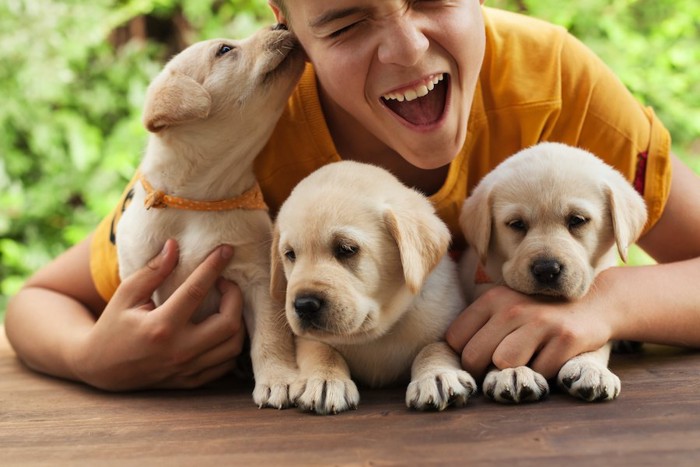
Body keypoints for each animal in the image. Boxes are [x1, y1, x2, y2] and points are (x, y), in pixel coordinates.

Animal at [116, 25, 304, 410]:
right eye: (225, 50)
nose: (280, 26)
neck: (197, 200)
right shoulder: (137, 270)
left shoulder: (258, 276)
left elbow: (270, 336)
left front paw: (278, 379)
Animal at [270, 162, 478, 416]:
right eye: (290, 254)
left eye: (346, 249)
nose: (304, 305)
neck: (374, 334)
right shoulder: (307, 338)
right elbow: (321, 349)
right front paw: (324, 380)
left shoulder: (447, 319)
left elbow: (435, 347)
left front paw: (437, 375)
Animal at [456, 142, 648, 402]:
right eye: (516, 224)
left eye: (577, 220)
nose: (547, 269)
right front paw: (512, 370)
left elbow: (597, 341)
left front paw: (589, 367)